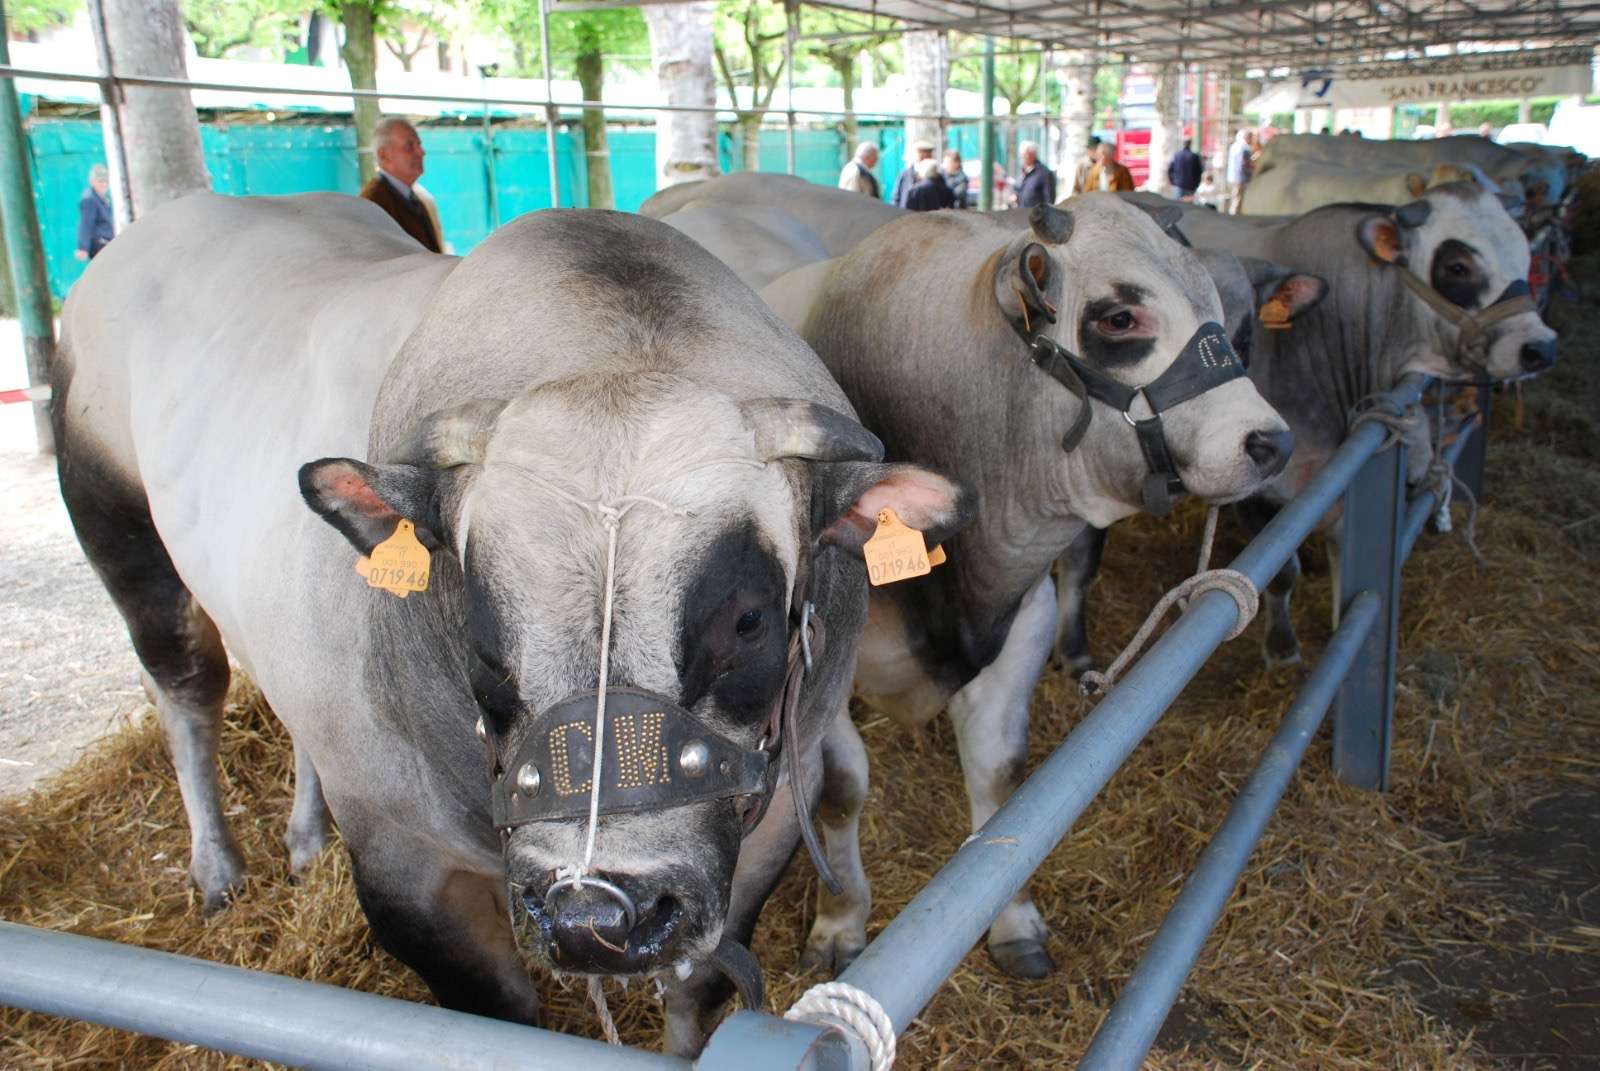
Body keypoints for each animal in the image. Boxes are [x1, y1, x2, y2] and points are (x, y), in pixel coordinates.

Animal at [56, 194, 966, 1050]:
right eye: (483, 641)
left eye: (748, 621)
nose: (595, 913)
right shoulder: (406, 867)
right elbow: (498, 1017)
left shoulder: (765, 825)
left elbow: (697, 995)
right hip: (120, 534)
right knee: (187, 688)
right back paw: (217, 863)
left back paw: (307, 835)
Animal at [755, 194, 1292, 979]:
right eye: (1119, 317)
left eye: (1226, 312)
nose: (1271, 442)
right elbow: (843, 788)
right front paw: (841, 922)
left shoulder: (1028, 616)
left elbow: (1002, 778)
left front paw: (1011, 921)